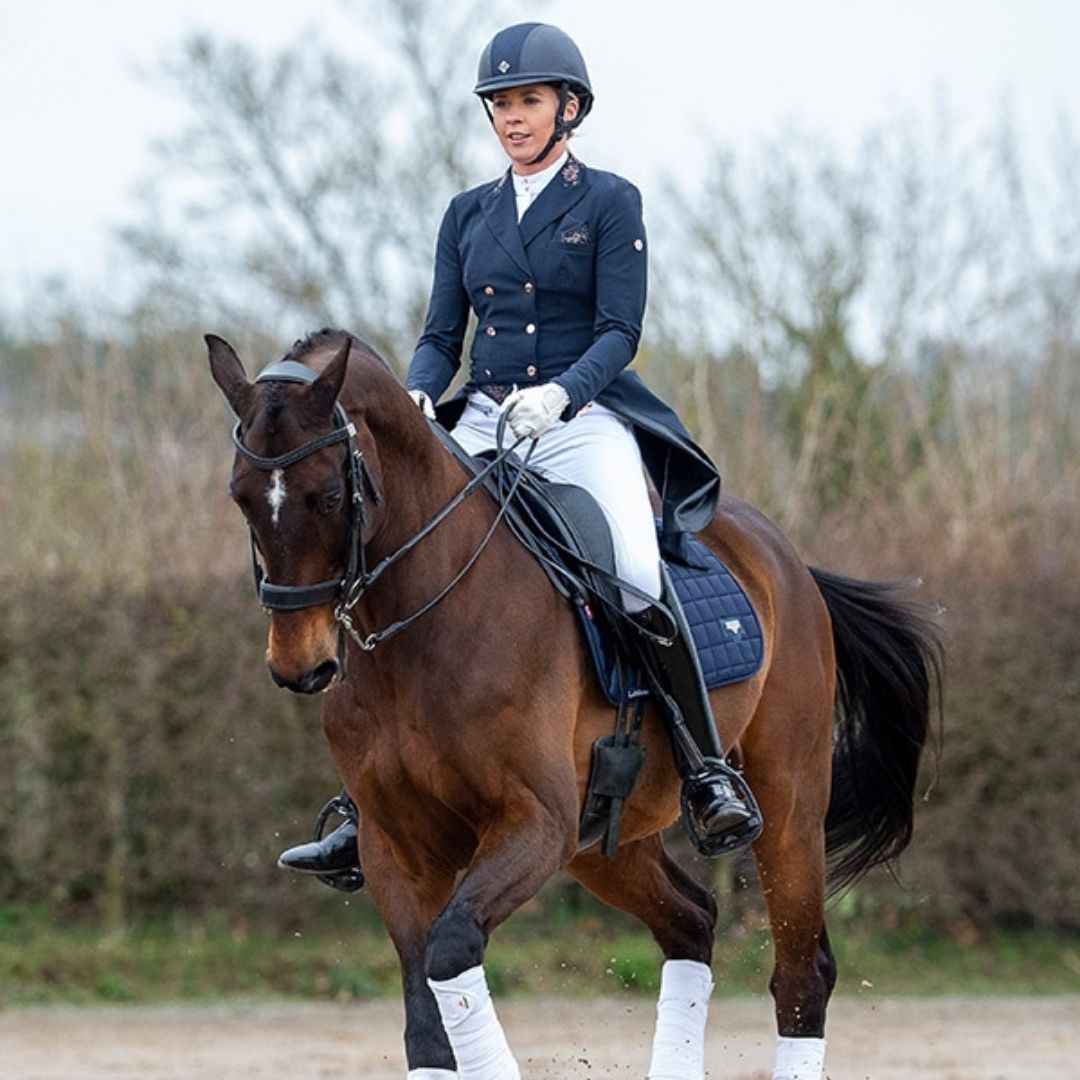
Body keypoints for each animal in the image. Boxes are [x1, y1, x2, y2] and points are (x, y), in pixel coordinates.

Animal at [208, 328, 937, 1080]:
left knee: (801, 974)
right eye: (240, 496)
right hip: (608, 837)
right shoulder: (396, 847)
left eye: (327, 496)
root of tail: (784, 556)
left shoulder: (536, 822)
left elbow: (451, 950)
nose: (300, 666)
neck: (423, 624)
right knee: (691, 919)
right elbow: (426, 1021)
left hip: (787, 805)